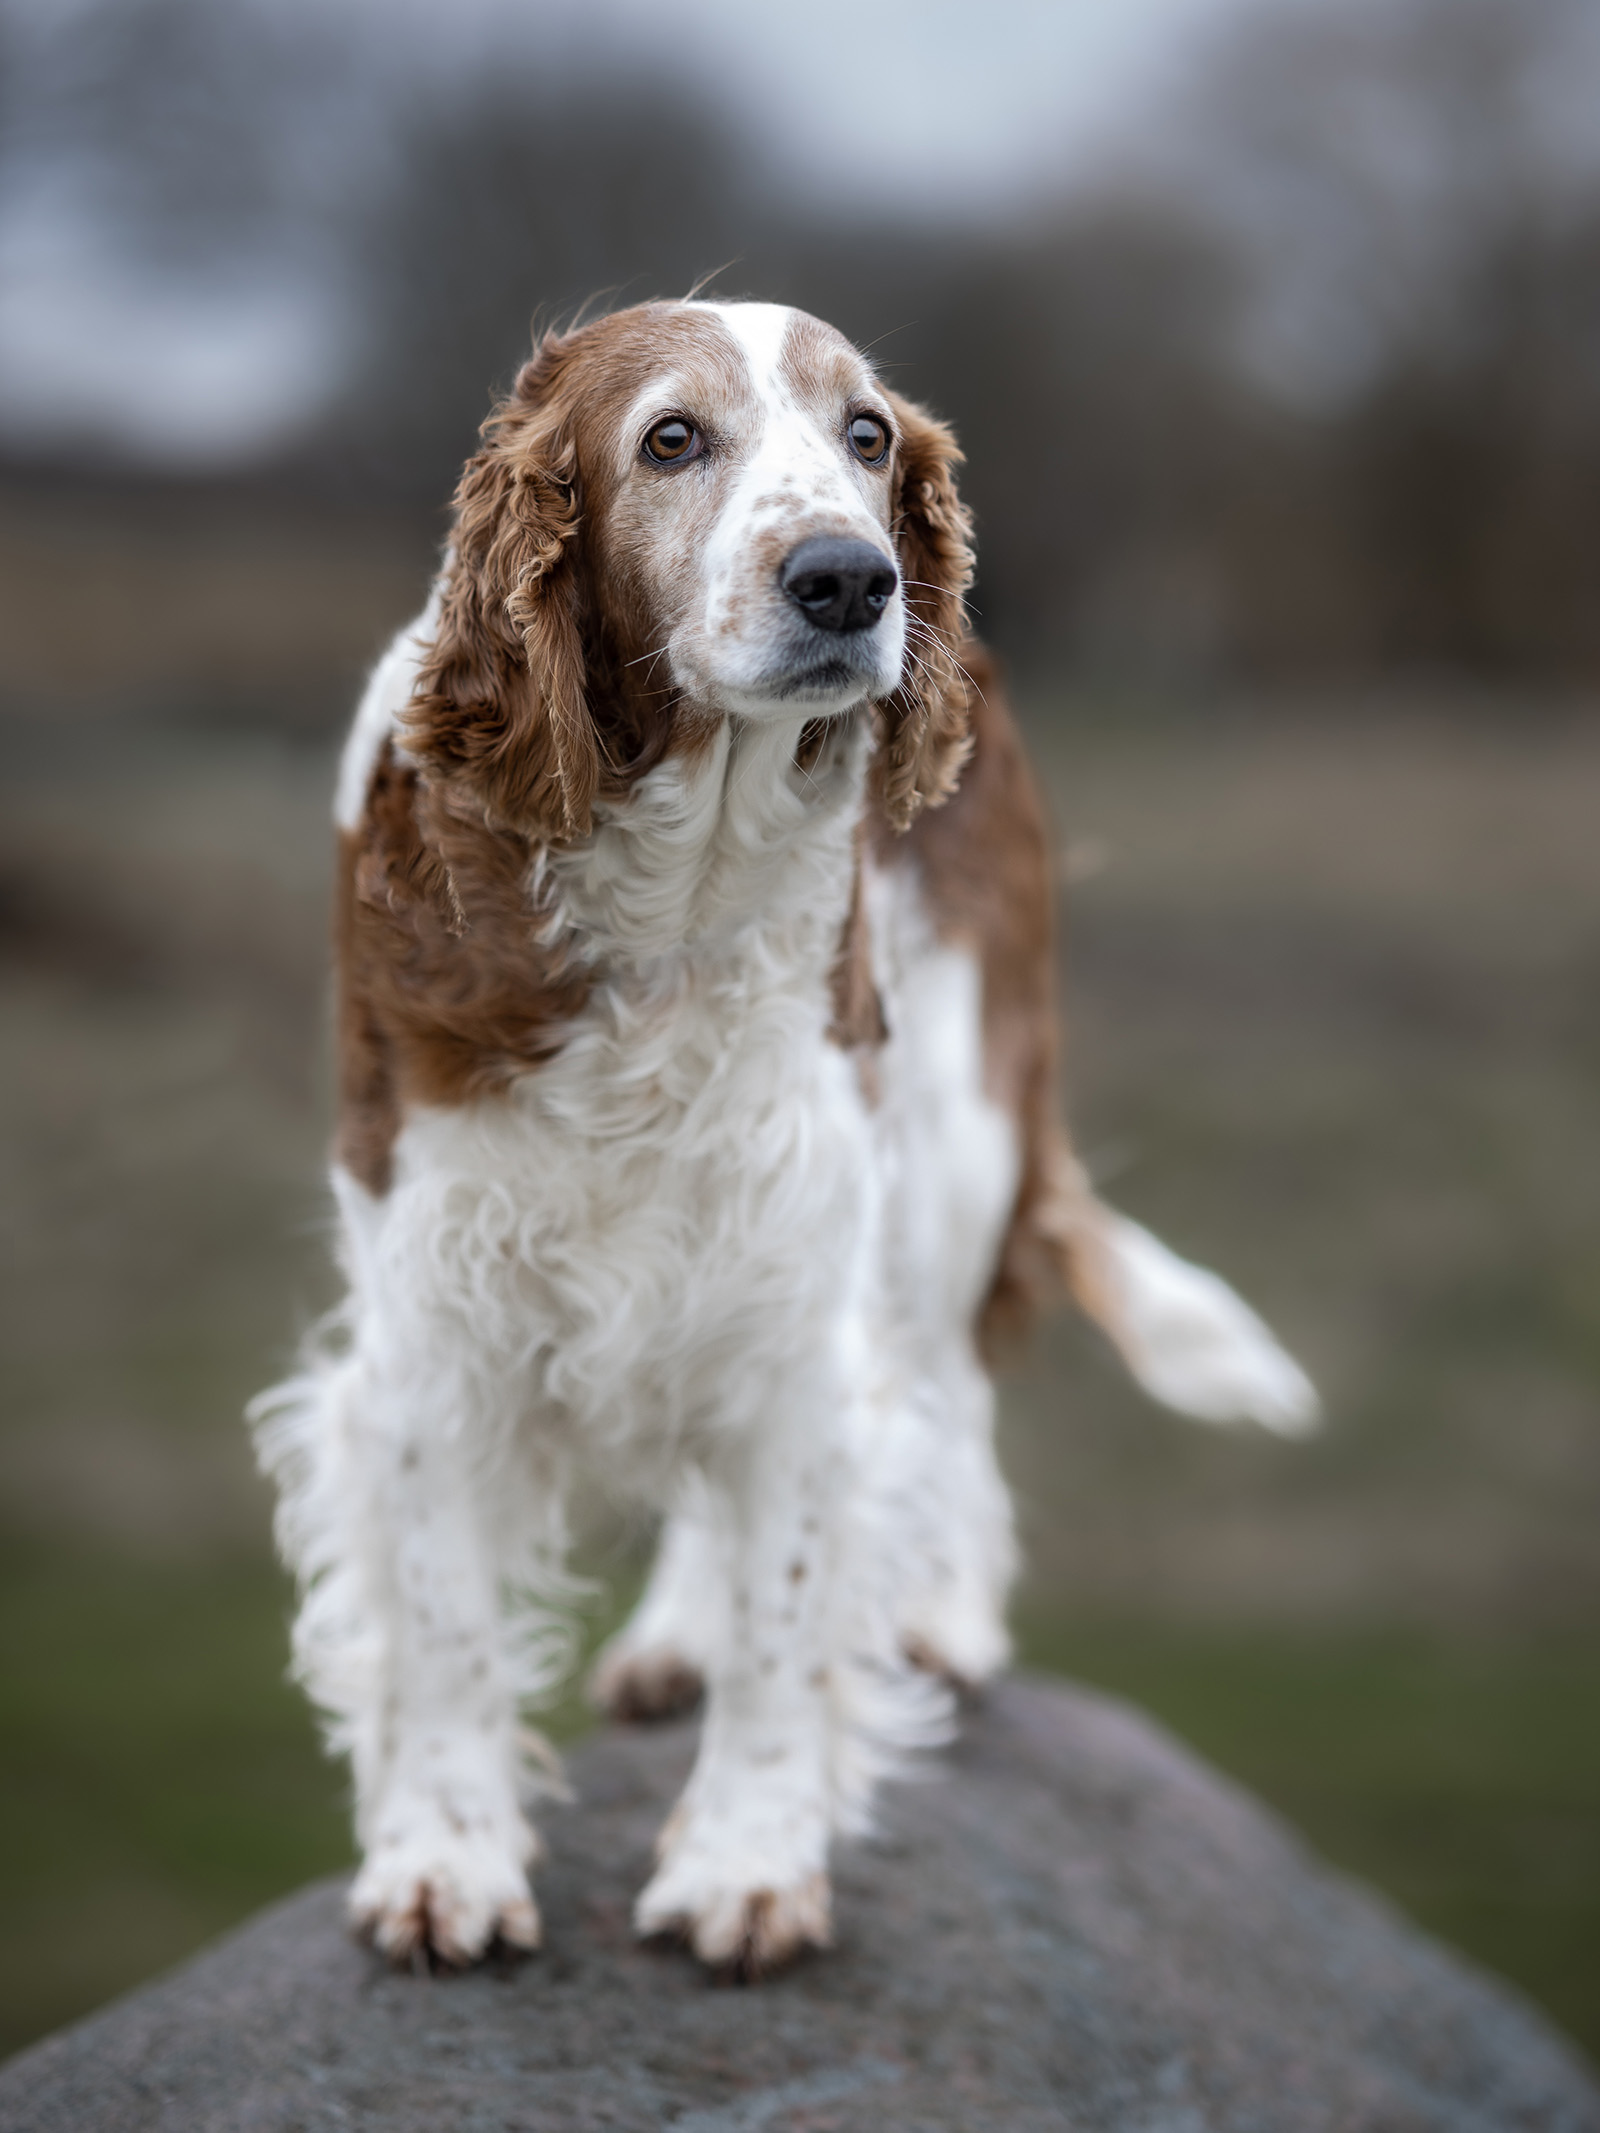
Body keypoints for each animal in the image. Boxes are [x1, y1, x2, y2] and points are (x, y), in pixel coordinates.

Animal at [253, 300, 1314, 1979]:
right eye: (671, 439)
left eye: (866, 434)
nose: (849, 577)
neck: (667, 908)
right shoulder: (430, 1317)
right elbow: (443, 1618)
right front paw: (443, 1858)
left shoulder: (802, 1270)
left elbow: (789, 1606)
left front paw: (747, 1863)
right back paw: (672, 1640)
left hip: (949, 1137)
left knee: (946, 1387)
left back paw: (941, 1613)